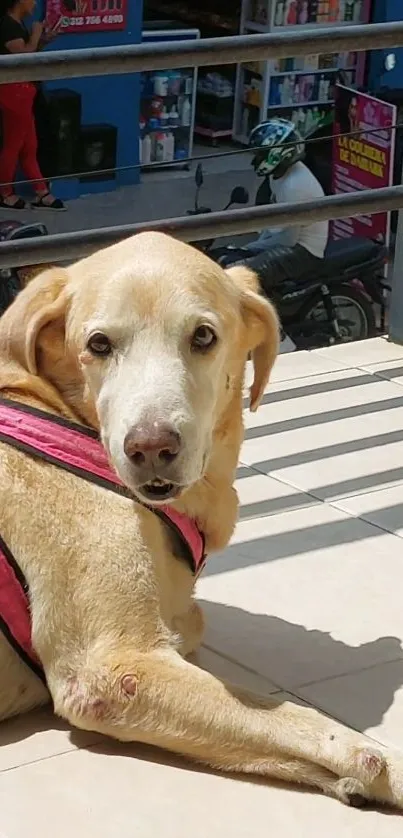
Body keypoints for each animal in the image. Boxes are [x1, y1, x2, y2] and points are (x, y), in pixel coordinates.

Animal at [0, 233, 402, 812]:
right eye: (98, 344)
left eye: (203, 335)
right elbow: (297, 718)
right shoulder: (114, 670)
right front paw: (382, 763)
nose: (150, 447)